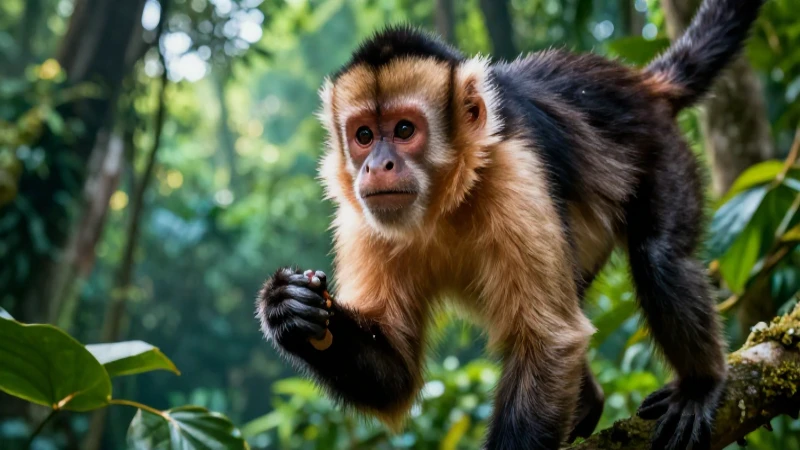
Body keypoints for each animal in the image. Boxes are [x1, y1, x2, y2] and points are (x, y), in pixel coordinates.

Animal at [256, 0, 764, 447]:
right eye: (363, 136)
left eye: (403, 130)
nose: (377, 165)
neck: (443, 205)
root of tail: (640, 84)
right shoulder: (359, 218)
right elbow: (396, 378)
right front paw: (292, 309)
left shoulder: (513, 172)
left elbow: (550, 342)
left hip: (663, 148)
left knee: (660, 258)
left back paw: (702, 383)